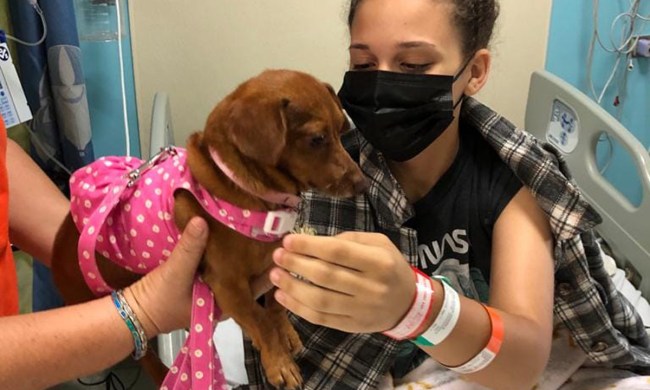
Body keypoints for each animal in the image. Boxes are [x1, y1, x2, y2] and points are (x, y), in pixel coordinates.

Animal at [52, 68, 364, 388]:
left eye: (342, 129)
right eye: (317, 139)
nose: (362, 184)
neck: (246, 192)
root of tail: (55, 253)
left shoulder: (273, 266)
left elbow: (275, 306)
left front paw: (286, 335)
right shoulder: (226, 284)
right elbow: (259, 319)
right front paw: (279, 363)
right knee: (145, 356)